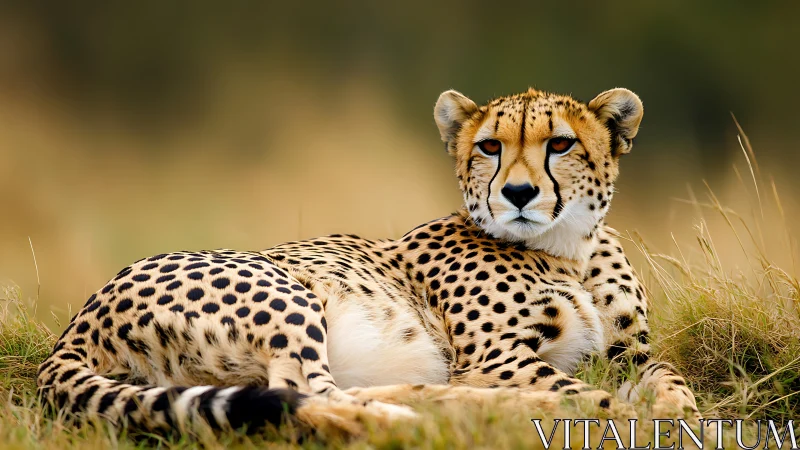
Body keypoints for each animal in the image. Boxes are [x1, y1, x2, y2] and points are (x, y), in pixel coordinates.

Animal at [37, 86, 701, 436]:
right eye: (490, 146)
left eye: (560, 144)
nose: (516, 193)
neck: (568, 249)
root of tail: (73, 327)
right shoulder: (496, 356)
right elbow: (571, 380)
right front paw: (615, 410)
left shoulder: (627, 350)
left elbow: (669, 374)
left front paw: (678, 410)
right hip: (285, 290)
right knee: (315, 396)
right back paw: (507, 409)